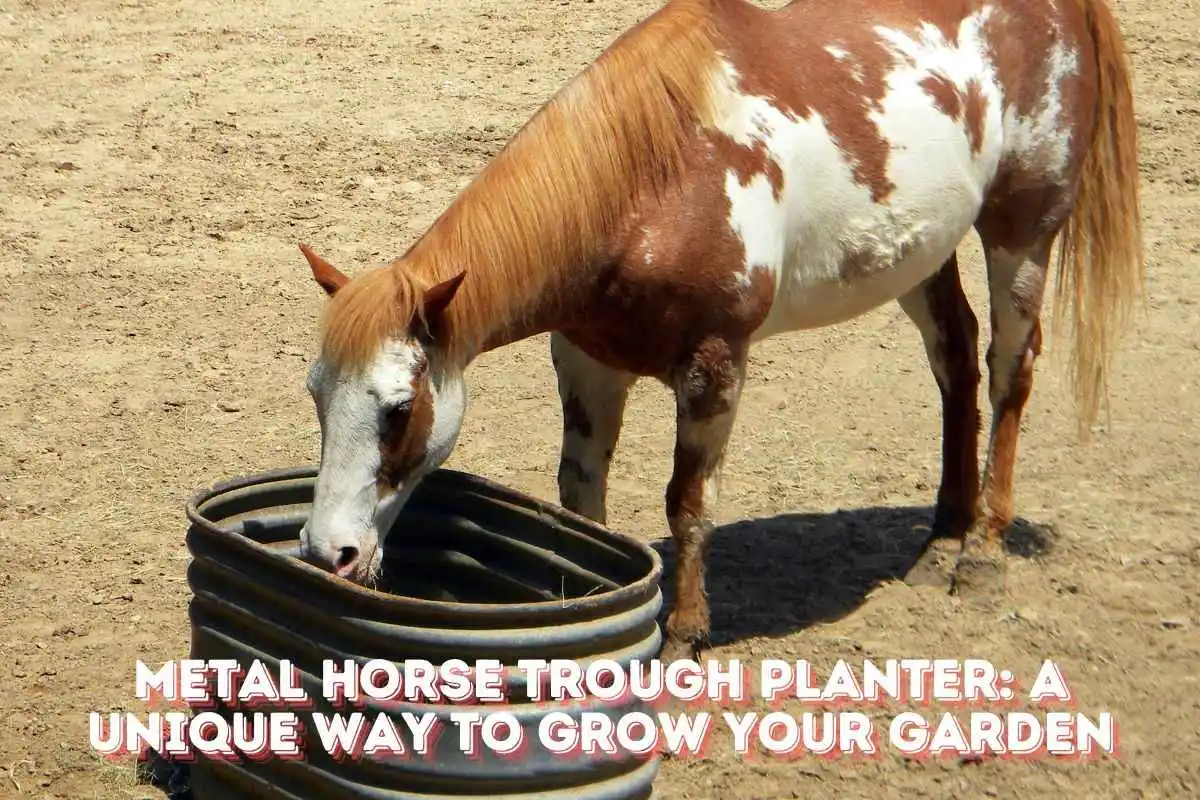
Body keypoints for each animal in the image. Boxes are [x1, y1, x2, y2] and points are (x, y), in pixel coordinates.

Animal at [297, 0, 1142, 662]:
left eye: (400, 409)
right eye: (316, 396)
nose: (326, 551)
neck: (653, 182)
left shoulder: (714, 367)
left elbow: (689, 502)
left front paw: (685, 634)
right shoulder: (588, 361)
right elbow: (580, 497)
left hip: (1021, 235)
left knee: (1009, 372)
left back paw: (982, 552)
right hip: (922, 255)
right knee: (956, 361)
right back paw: (941, 539)